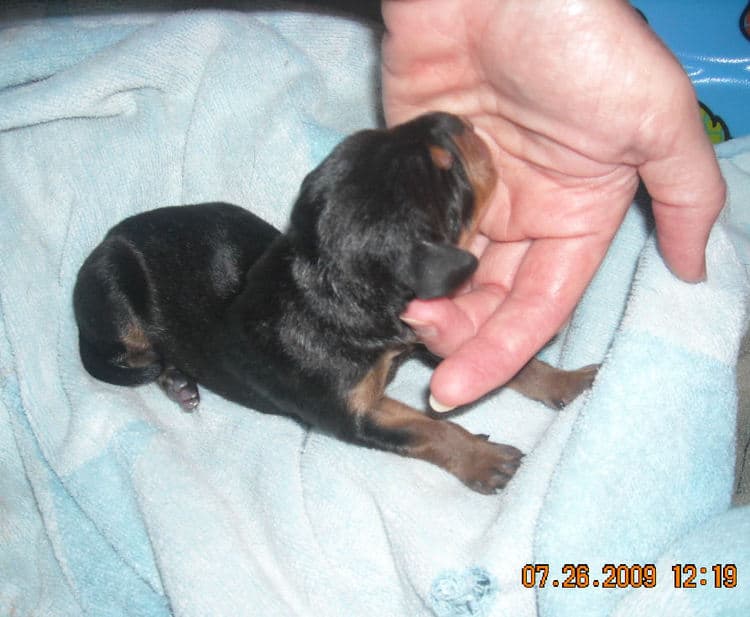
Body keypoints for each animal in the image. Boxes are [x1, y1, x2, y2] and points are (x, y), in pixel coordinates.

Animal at [73, 113, 596, 494]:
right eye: (447, 167)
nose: (457, 118)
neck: (331, 287)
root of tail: (100, 245)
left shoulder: (420, 332)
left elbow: (510, 362)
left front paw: (569, 380)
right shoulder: (353, 415)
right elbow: (424, 428)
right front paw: (485, 460)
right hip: (115, 296)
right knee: (141, 352)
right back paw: (175, 377)